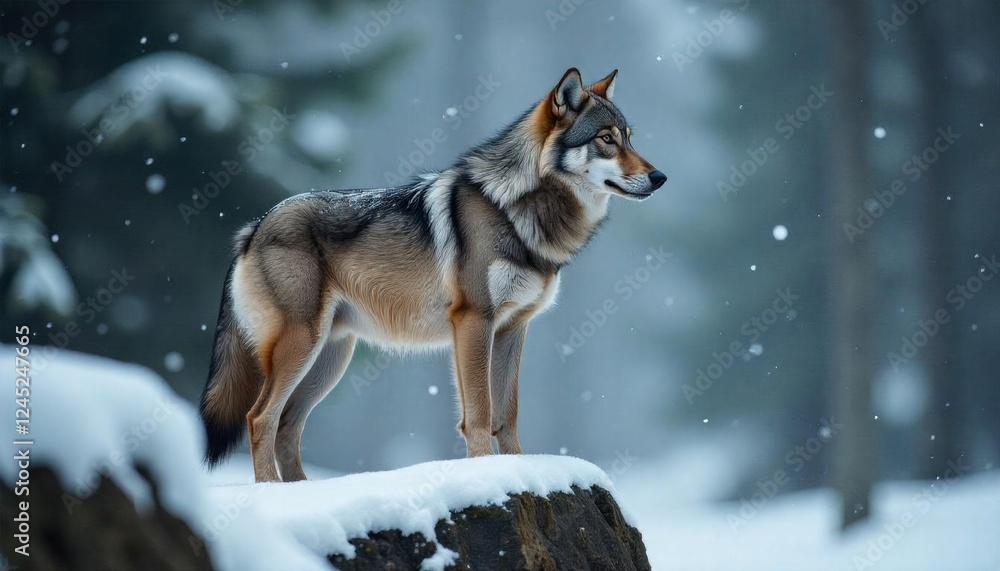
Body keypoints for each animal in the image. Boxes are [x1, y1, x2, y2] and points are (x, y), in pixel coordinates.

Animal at [199, 68, 667, 482]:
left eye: (629, 137)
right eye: (606, 139)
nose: (660, 177)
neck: (517, 210)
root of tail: (253, 227)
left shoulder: (514, 327)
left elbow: (507, 414)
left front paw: (520, 468)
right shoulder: (474, 320)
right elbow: (479, 412)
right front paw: (487, 470)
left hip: (330, 358)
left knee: (287, 425)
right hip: (302, 346)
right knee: (259, 418)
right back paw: (271, 490)